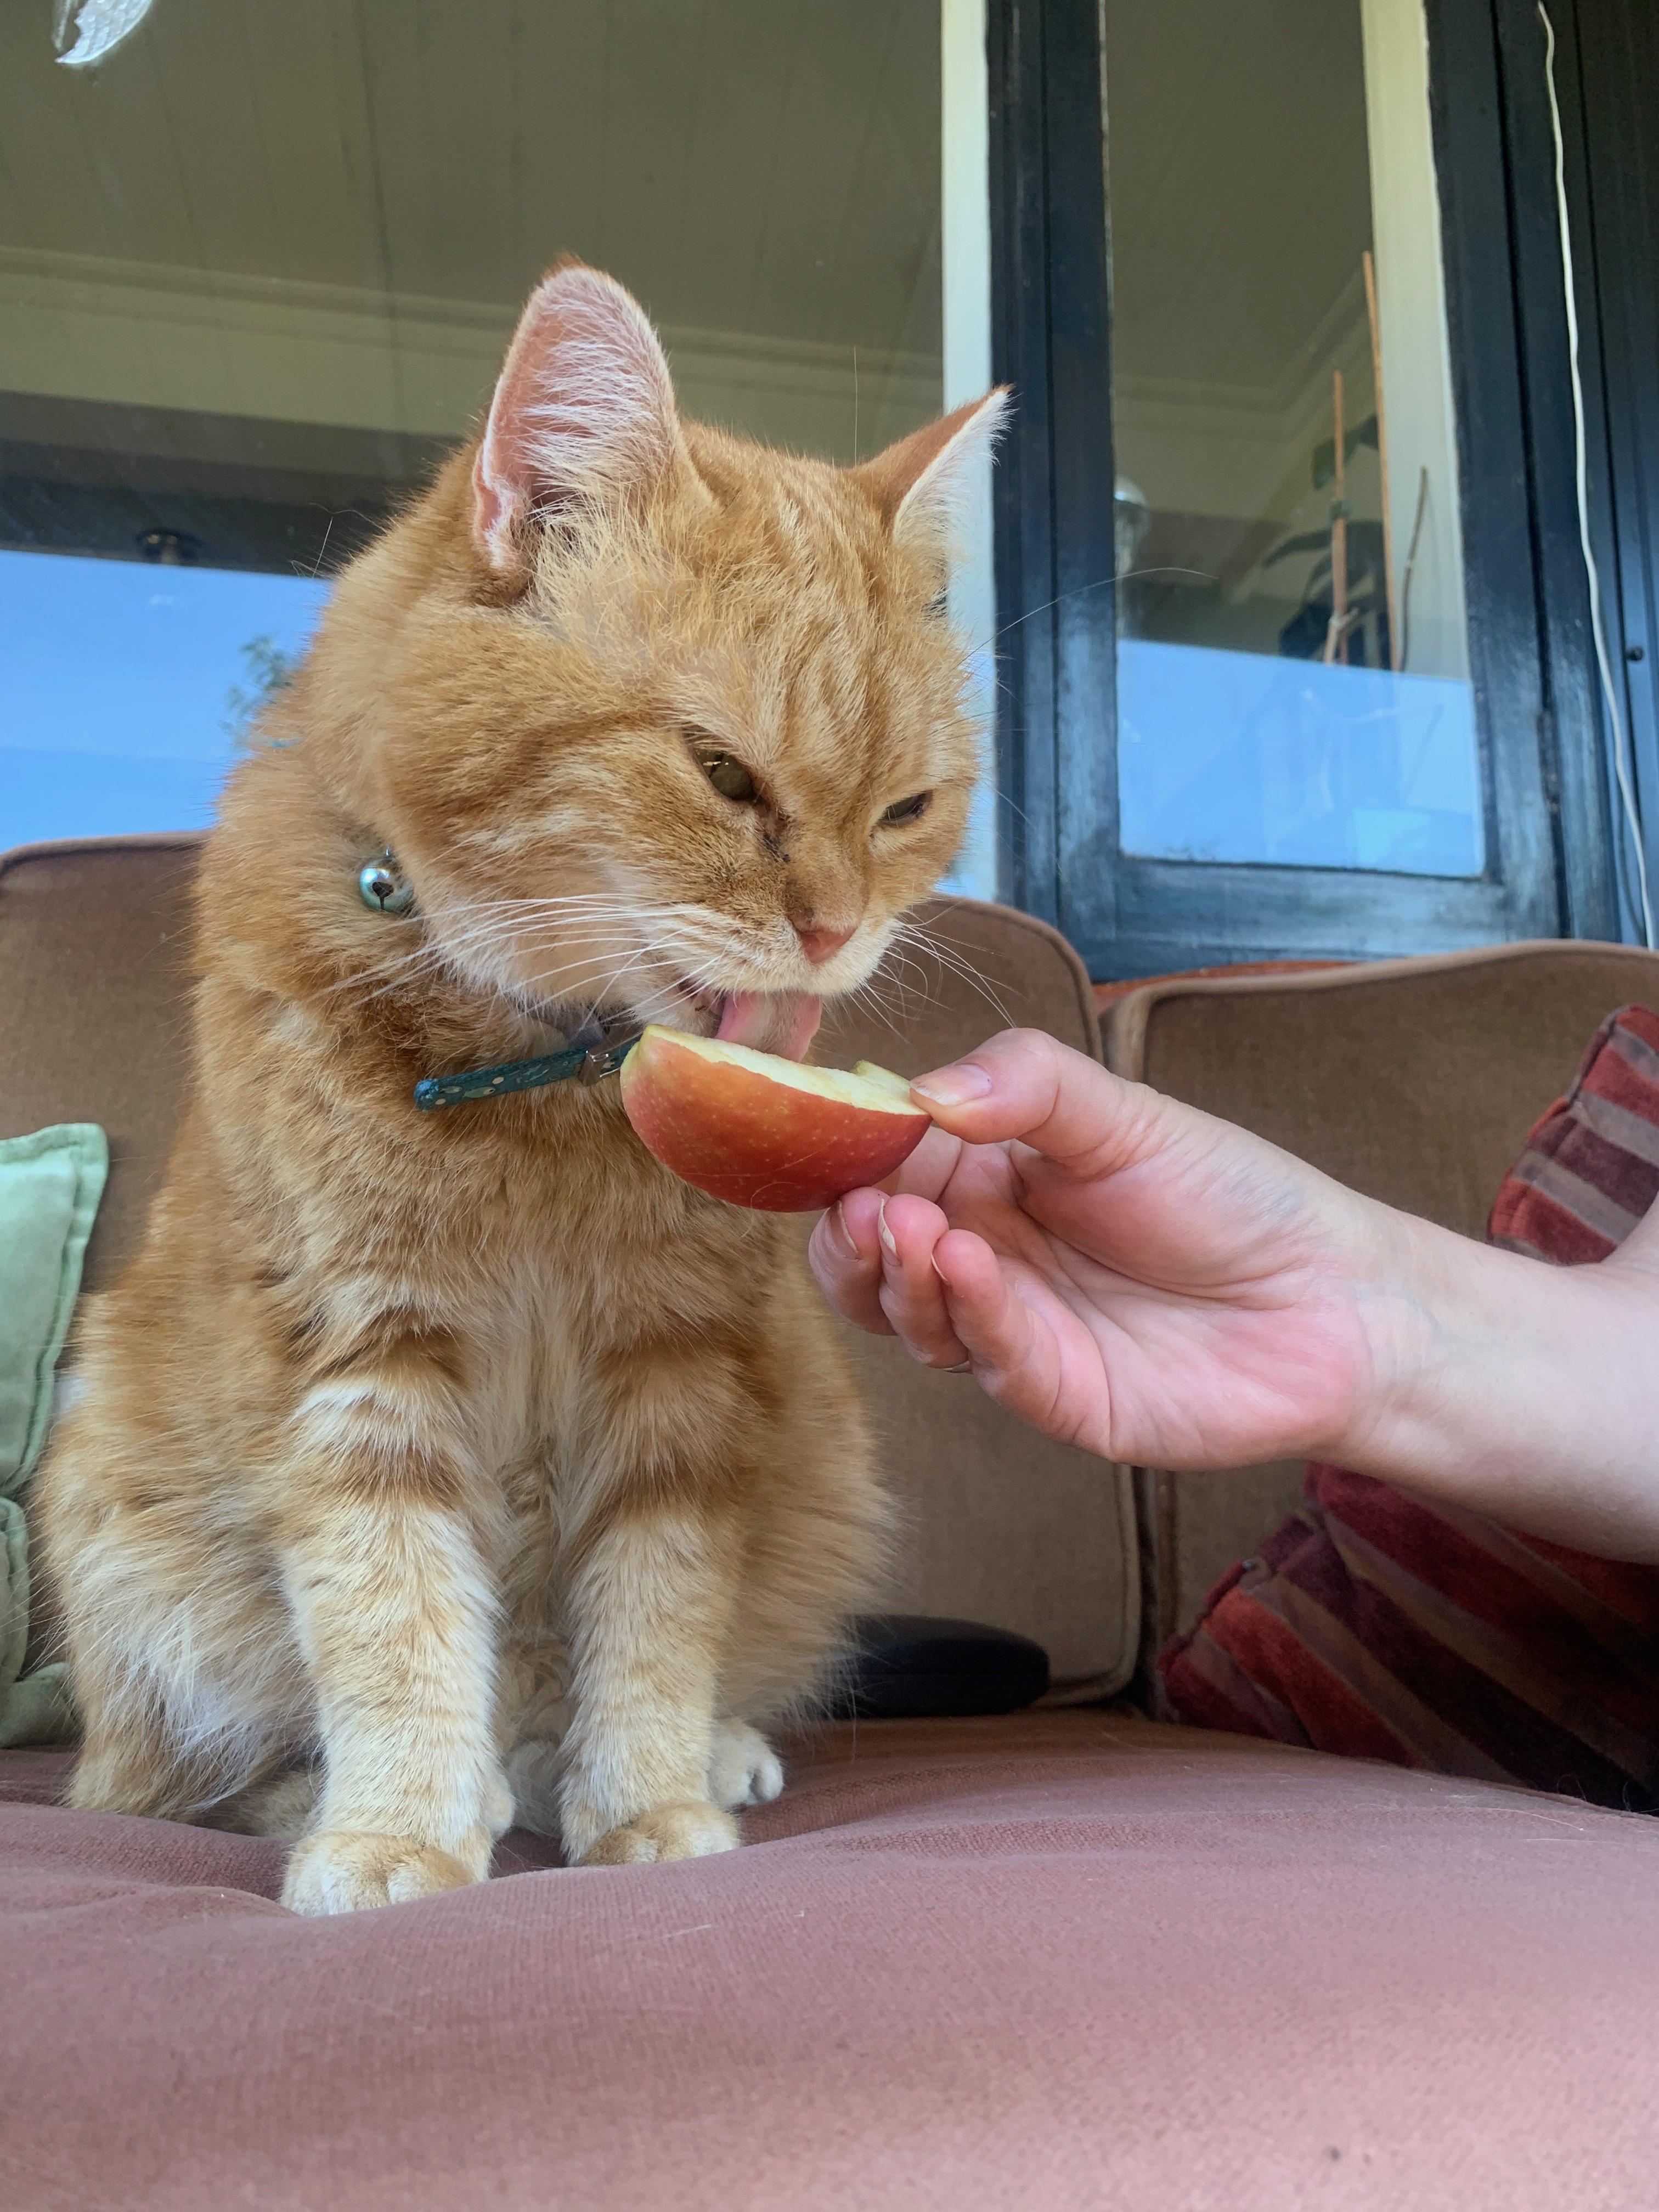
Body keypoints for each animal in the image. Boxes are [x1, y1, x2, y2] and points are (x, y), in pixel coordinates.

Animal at [36, 258, 1000, 1911]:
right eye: (722, 774)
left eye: (906, 810)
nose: (833, 933)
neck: (551, 1084)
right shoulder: (358, 1366)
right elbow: (395, 1620)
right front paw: (398, 1831)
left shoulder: (683, 1380)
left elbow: (653, 1617)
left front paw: (649, 1803)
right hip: (121, 1536)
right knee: (192, 1782)